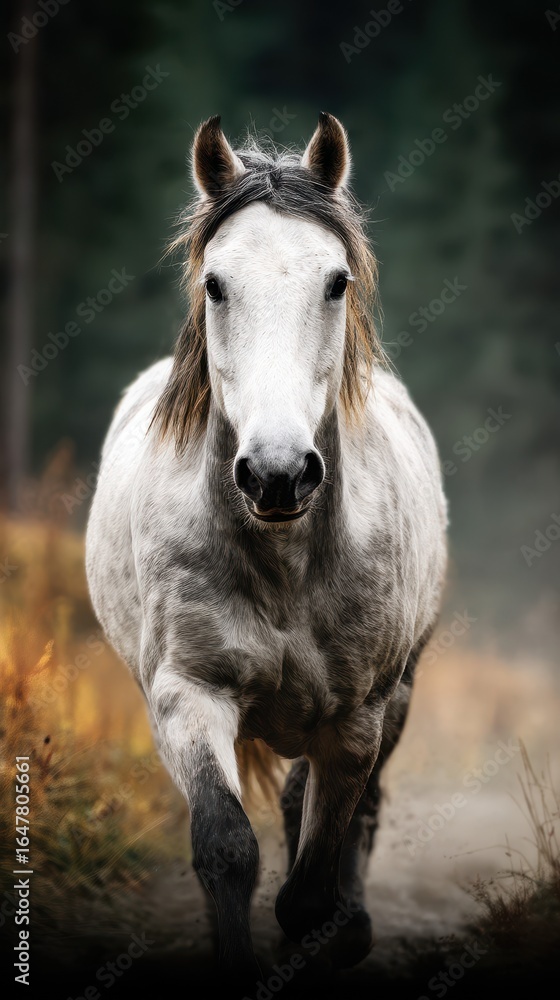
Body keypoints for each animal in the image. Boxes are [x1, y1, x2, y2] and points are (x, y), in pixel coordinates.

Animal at [85, 112, 447, 989]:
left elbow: (311, 887)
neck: (285, 564)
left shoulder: (356, 721)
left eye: (336, 282)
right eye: (216, 283)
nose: (277, 473)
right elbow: (227, 849)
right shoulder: (187, 697)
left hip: (396, 694)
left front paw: (331, 934)